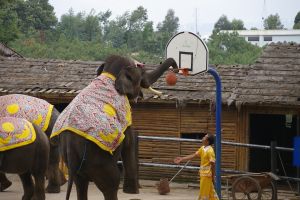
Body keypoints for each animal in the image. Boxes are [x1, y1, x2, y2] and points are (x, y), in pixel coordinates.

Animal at [50, 54, 178, 200]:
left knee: (81, 184)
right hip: (100, 161)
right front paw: (132, 191)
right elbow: (129, 140)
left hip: (74, 164)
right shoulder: (124, 113)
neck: (110, 73)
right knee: (111, 184)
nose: (176, 70)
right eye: (142, 74)